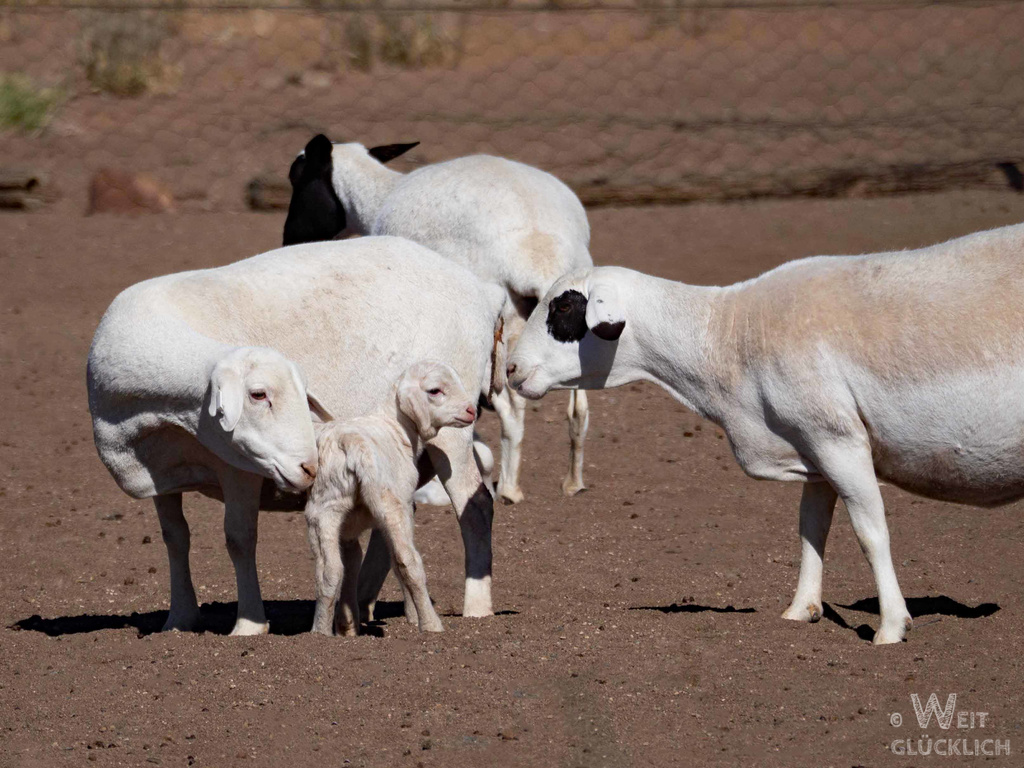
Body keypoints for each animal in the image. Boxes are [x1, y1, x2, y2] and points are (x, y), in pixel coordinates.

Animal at [305, 360, 477, 638]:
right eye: (435, 391)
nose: (471, 411)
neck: (396, 427)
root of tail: (354, 445)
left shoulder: (349, 524)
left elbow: (353, 561)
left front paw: (347, 625)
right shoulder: (401, 504)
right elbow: (397, 562)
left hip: (325, 505)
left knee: (328, 570)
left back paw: (320, 634)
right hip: (392, 501)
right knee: (409, 561)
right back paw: (432, 625)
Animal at [507, 222, 1024, 643]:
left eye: (565, 307)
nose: (510, 369)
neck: (727, 337)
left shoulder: (839, 439)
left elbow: (870, 532)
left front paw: (892, 628)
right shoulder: (814, 447)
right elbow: (811, 529)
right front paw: (800, 612)